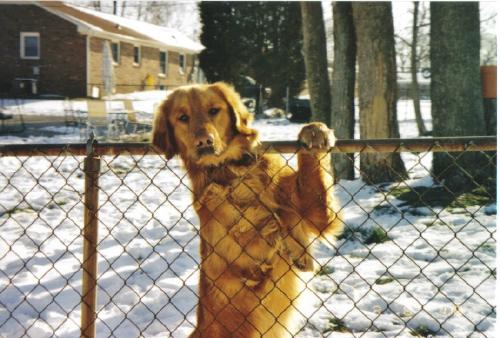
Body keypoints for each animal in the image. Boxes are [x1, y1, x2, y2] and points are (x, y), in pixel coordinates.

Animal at [150, 82, 342, 338]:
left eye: (214, 110)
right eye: (183, 118)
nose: (204, 142)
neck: (234, 167)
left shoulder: (314, 211)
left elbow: (310, 184)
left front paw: (315, 131)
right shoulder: (249, 247)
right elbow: (270, 224)